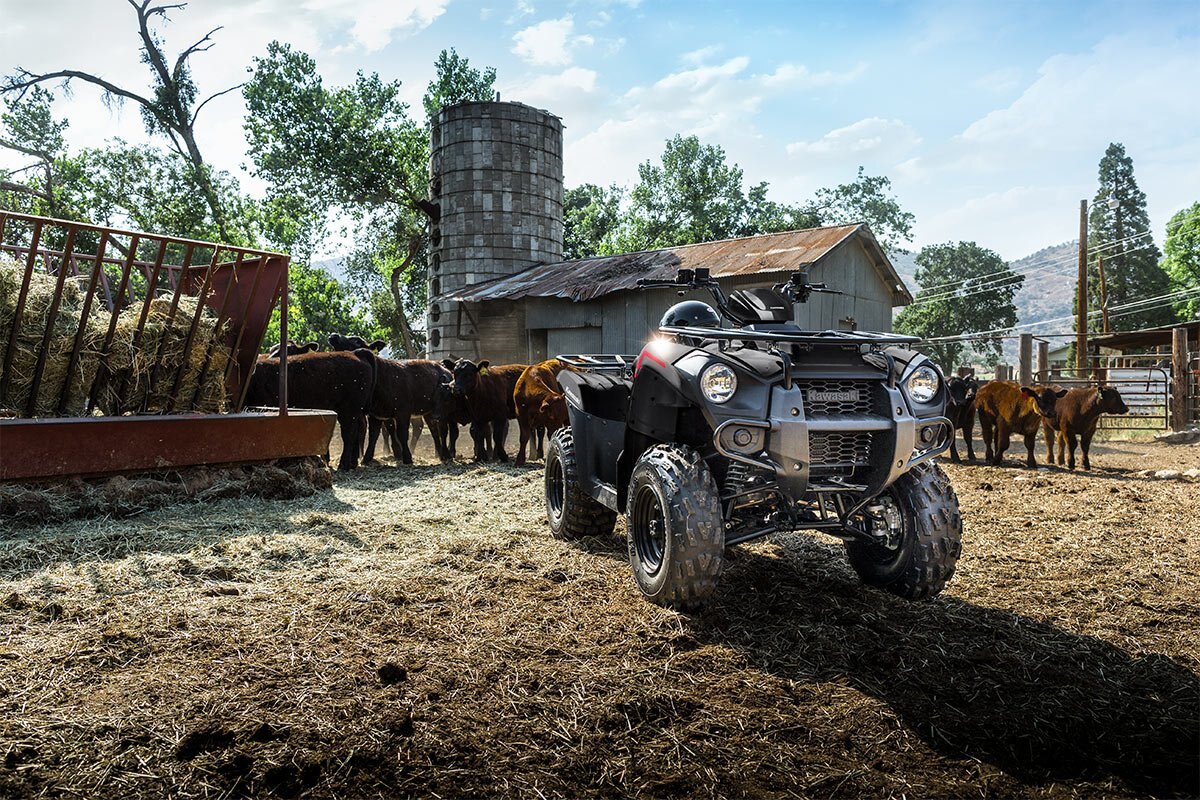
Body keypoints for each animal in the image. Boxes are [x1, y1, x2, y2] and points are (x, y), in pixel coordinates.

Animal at [244, 350, 372, 470]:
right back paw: (351, 463)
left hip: (349, 411)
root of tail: (355, 353)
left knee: (349, 434)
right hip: (355, 412)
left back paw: (343, 465)